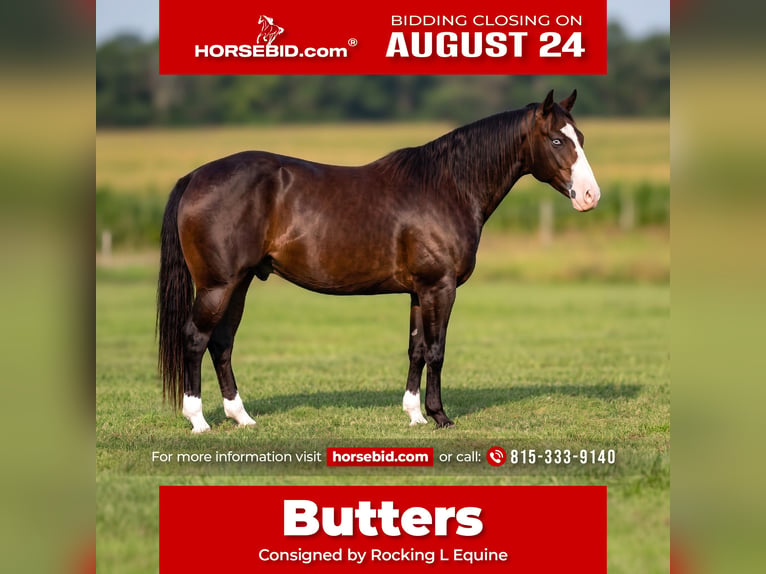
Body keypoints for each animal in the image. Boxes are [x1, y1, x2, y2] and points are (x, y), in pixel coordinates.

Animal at [157, 90, 601, 433]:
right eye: (556, 141)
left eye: (579, 136)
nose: (590, 196)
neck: (447, 186)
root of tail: (195, 177)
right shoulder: (440, 287)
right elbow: (437, 350)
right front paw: (440, 417)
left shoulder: (419, 292)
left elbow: (416, 349)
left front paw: (415, 415)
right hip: (218, 285)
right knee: (195, 338)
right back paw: (198, 420)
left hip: (241, 281)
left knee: (222, 343)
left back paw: (242, 417)